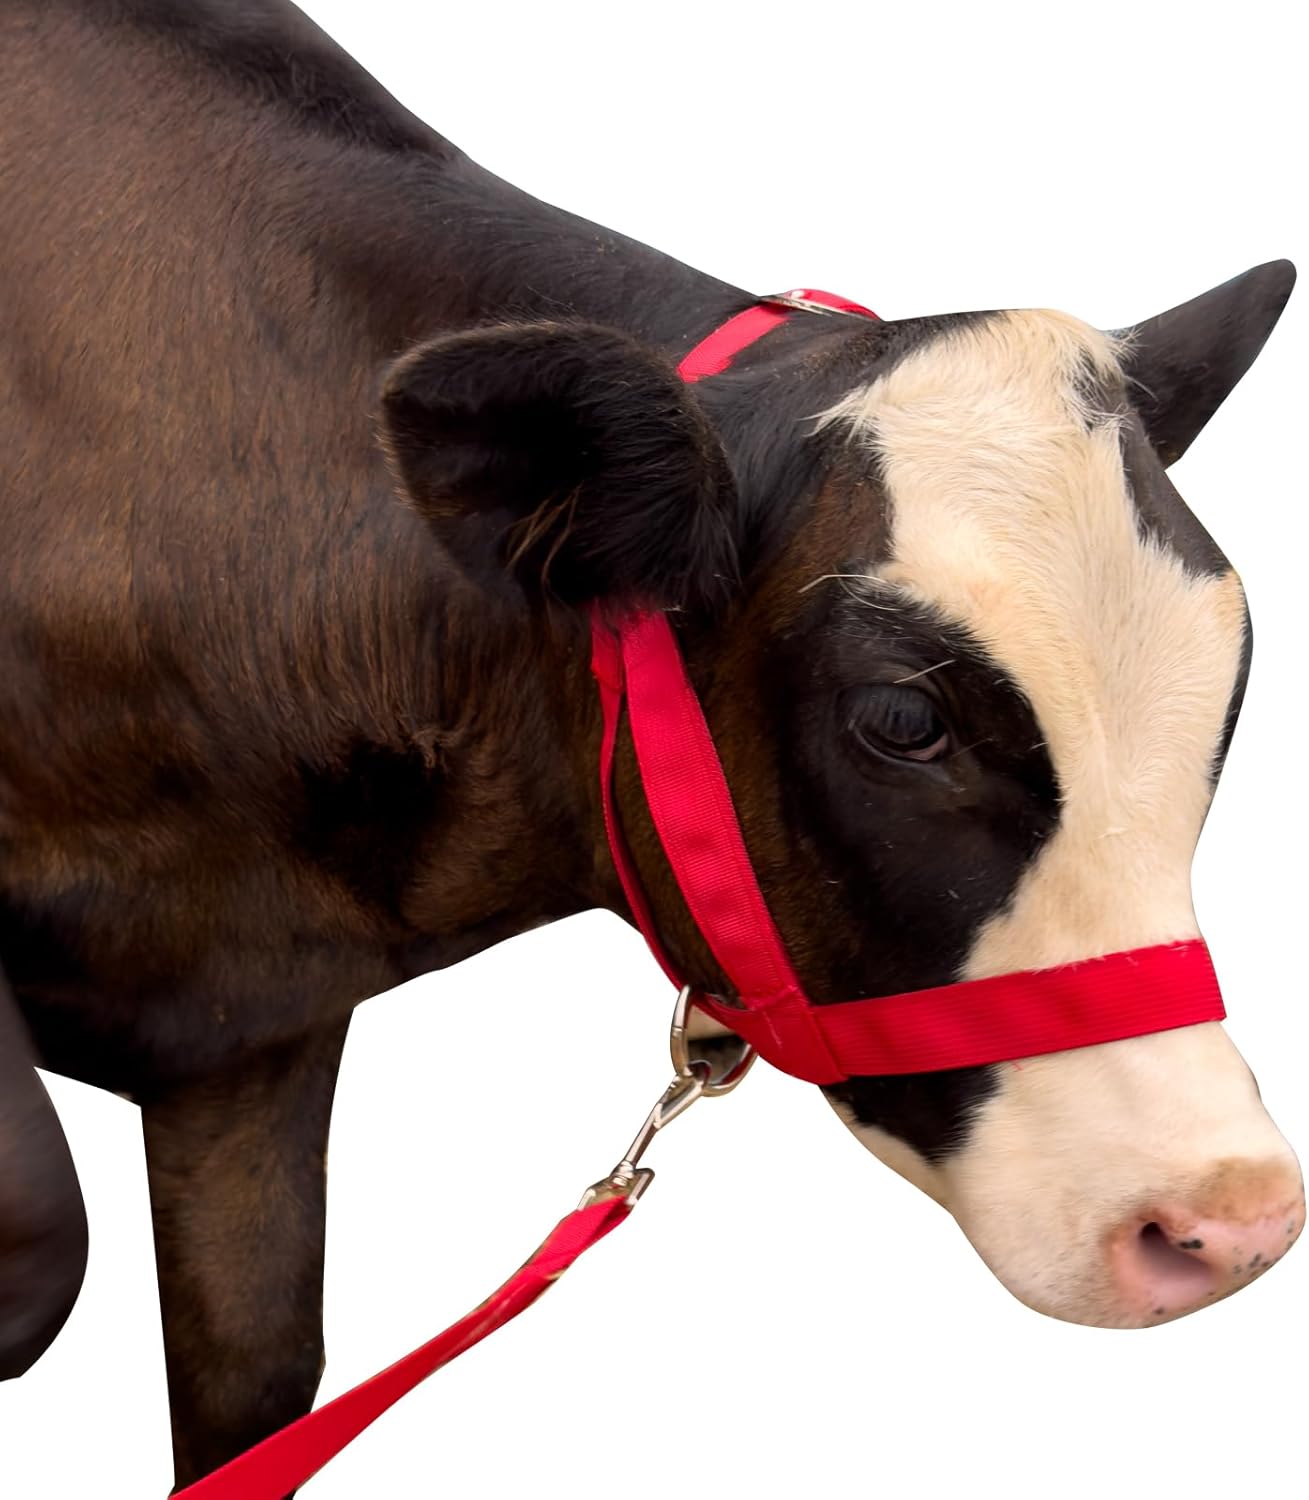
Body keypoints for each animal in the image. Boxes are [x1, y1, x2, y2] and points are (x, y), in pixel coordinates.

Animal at [0, 0, 1302, 1491]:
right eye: (901, 720)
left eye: (1232, 686)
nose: (1225, 1218)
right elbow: (41, 1240)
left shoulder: (245, 1041)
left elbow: (259, 1394)